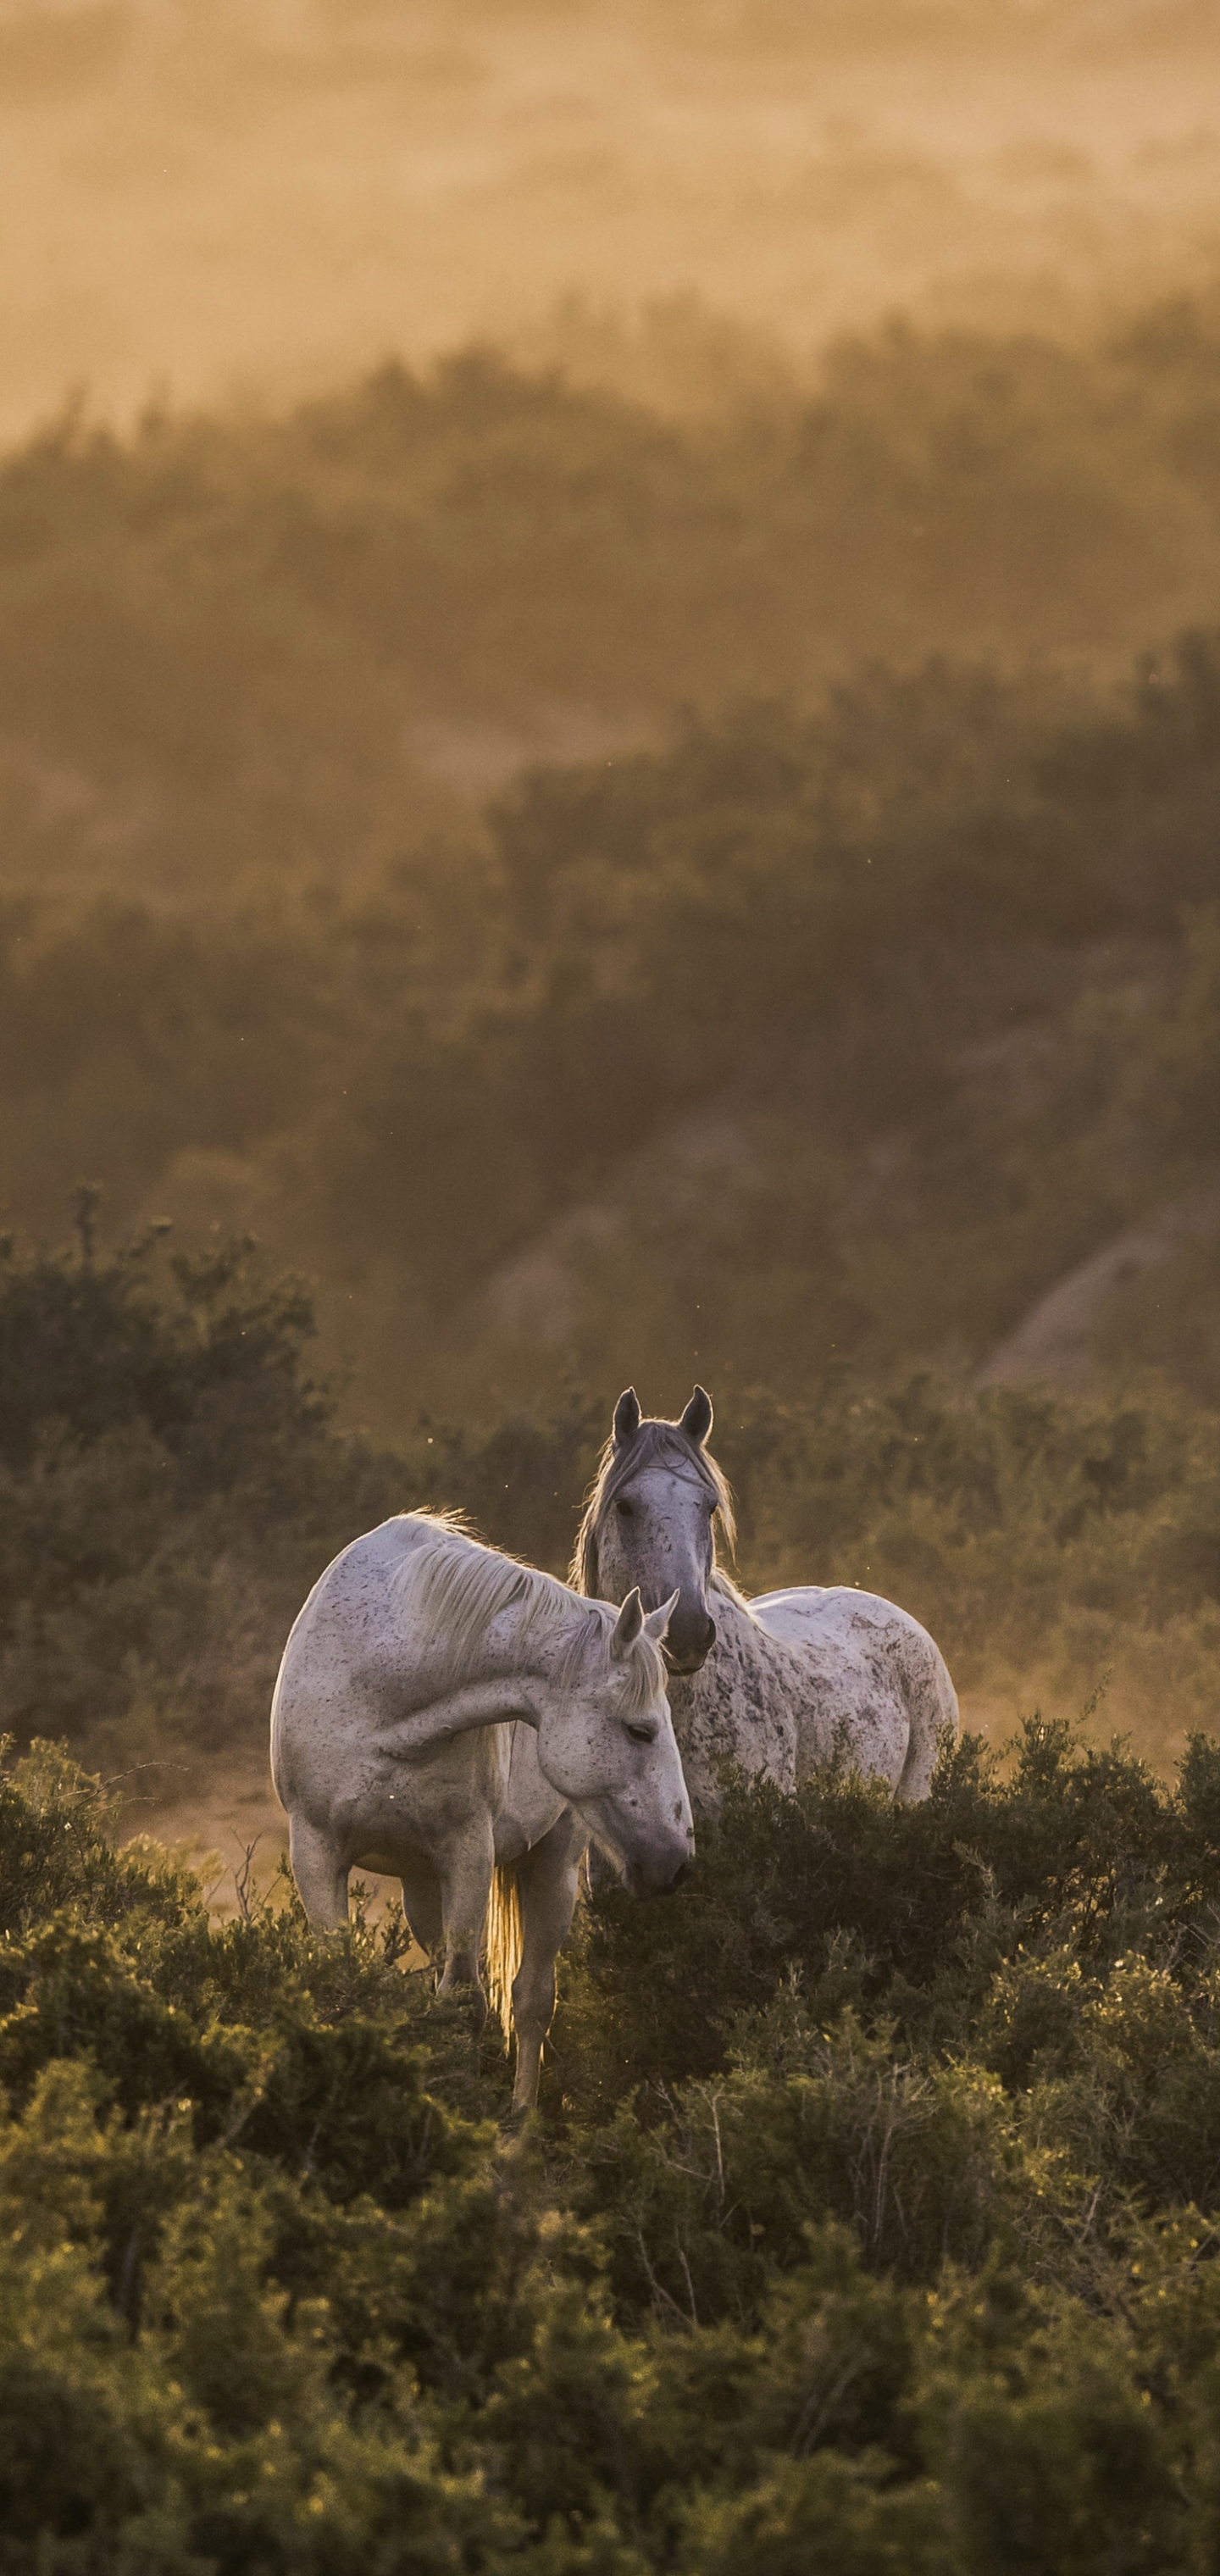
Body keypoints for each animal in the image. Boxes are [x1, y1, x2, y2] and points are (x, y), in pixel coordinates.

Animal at [271, 1514, 690, 2101]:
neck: (380, 1699)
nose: (675, 1862)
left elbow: (464, 2007)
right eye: (639, 1730)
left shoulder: (467, 1854)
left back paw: (519, 2121)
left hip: (553, 1867)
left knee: (532, 2000)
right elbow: (345, 1993)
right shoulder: (315, 1852)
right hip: (422, 1883)